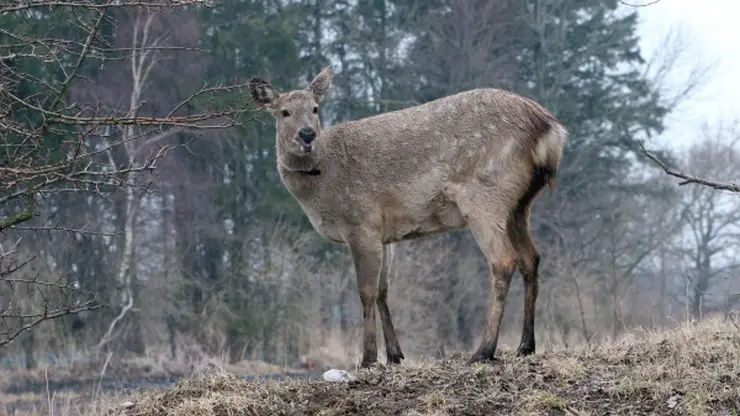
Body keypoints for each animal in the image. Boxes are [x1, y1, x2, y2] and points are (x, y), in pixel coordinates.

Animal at [249, 65, 568, 368]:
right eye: (284, 112)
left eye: (315, 108)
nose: (307, 134)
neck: (321, 183)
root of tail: (550, 130)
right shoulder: (384, 233)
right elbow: (383, 290)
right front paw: (394, 355)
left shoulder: (360, 223)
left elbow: (366, 291)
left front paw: (368, 358)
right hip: (520, 205)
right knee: (531, 258)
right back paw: (525, 346)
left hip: (485, 195)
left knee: (503, 261)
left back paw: (484, 350)